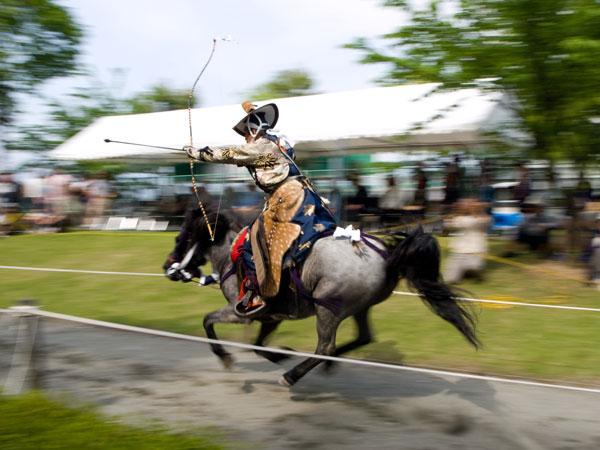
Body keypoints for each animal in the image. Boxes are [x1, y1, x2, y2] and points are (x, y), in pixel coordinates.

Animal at [163, 207, 478, 386]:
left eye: (182, 237)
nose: (168, 267)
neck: (234, 255)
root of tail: (388, 256)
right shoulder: (270, 316)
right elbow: (258, 345)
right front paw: (280, 354)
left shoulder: (241, 312)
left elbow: (208, 322)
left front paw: (226, 357)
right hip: (358, 308)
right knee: (362, 337)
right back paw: (328, 363)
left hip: (329, 311)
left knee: (325, 346)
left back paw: (293, 376)